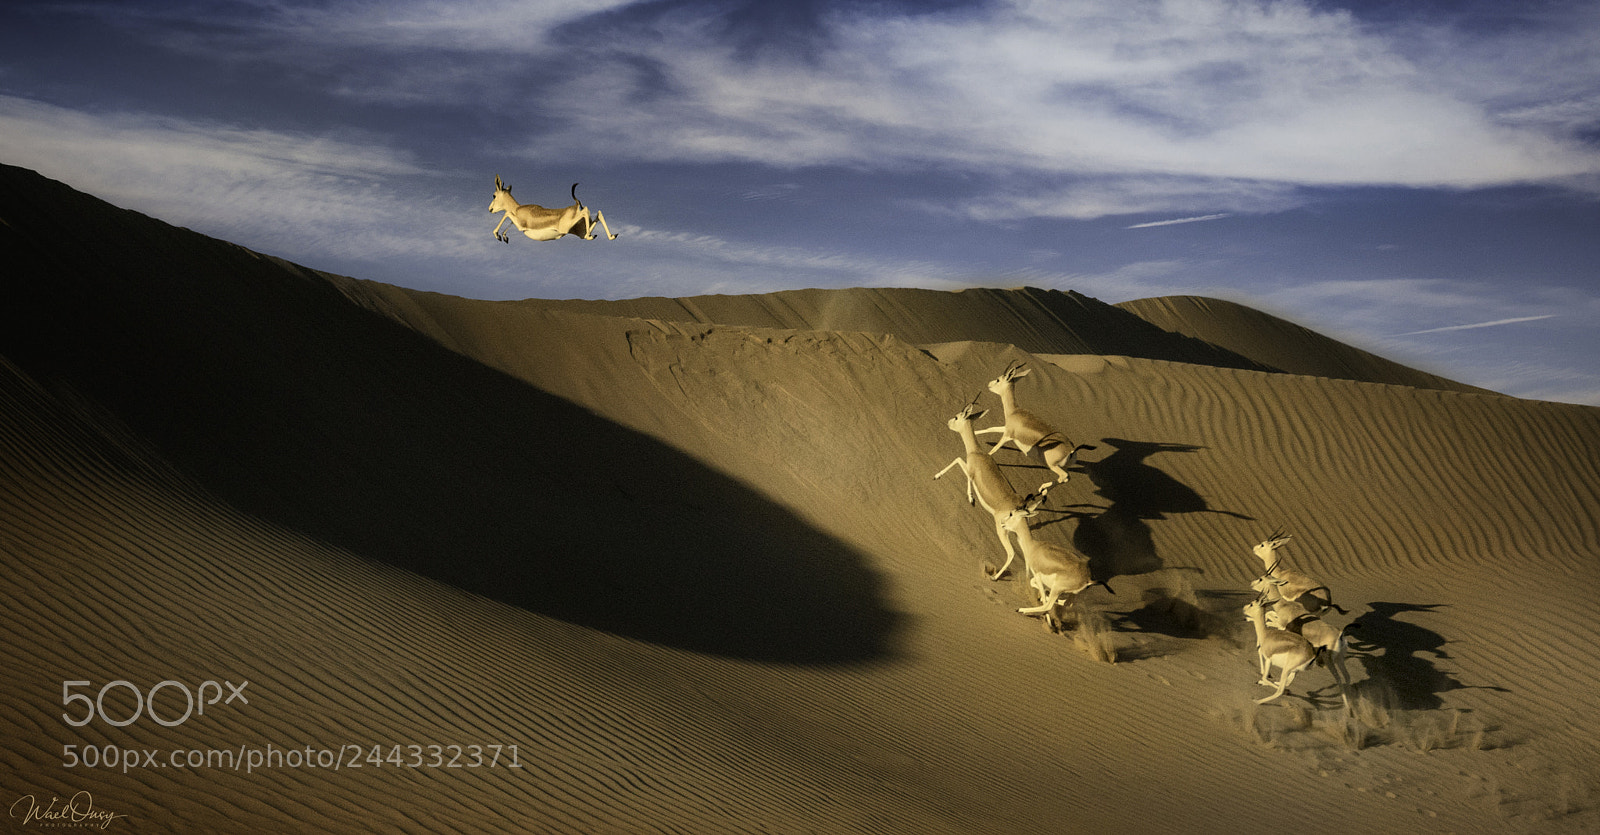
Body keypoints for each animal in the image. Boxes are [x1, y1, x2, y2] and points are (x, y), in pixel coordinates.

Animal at [489, 178, 618, 242]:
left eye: (494, 195)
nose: (490, 209)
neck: (518, 208)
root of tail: (577, 204)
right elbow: (509, 218)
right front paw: (504, 237)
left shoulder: (520, 225)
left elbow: (507, 213)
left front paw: (498, 235)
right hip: (580, 233)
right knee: (598, 214)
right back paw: (610, 236)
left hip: (566, 228)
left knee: (586, 210)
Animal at [934, 398, 1053, 580]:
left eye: (956, 417)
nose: (948, 422)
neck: (977, 452)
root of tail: (1022, 508)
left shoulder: (970, 470)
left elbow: (958, 461)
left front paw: (966, 495)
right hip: (1017, 533)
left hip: (1001, 530)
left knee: (1011, 553)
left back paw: (994, 577)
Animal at [999, 497, 1114, 632]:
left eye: (1011, 513)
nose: (1002, 522)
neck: (1034, 547)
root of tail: (1088, 578)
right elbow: (1035, 586)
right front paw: (1042, 597)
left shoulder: (1037, 574)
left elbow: (1040, 593)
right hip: (1073, 593)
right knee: (1068, 603)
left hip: (1057, 588)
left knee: (1048, 606)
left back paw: (1021, 609)